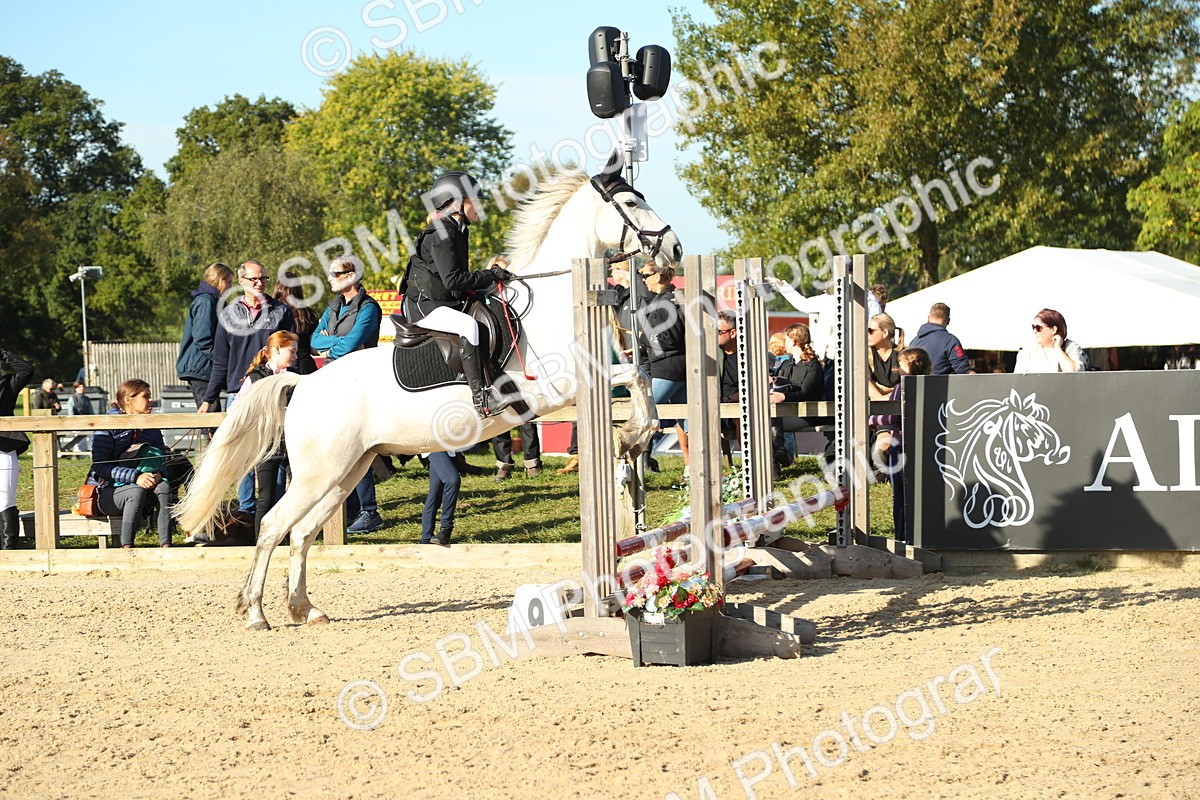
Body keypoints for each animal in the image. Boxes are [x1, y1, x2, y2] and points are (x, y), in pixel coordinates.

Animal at [175, 166, 682, 630]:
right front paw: (634, 436)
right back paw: (256, 612)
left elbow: (639, 376)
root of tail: (302, 383)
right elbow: (635, 373)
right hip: (319, 474)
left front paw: (636, 439)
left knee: (299, 533)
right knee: (272, 527)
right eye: (631, 202)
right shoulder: (565, 384)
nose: (674, 249)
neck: (559, 300)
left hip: (345, 472)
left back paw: (306, 609)